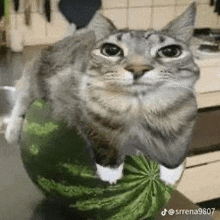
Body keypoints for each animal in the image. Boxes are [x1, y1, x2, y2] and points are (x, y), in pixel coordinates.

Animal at [4, 3, 199, 186]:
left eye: (170, 52)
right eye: (111, 50)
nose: (137, 69)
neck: (138, 108)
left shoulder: (185, 117)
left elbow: (176, 149)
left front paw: (171, 174)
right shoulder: (78, 104)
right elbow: (102, 137)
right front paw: (111, 173)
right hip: (36, 77)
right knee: (22, 99)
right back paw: (12, 130)